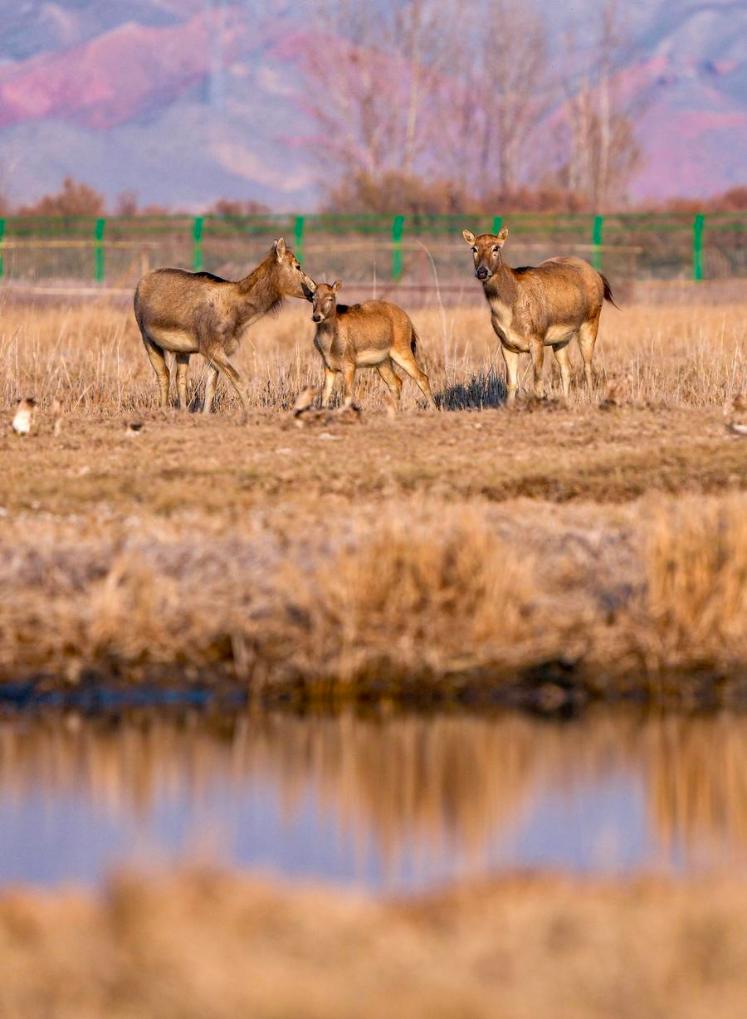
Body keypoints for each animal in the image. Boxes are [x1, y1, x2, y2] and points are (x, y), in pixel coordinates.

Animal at [133, 238, 316, 423]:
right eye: (297, 266)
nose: (313, 291)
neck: (240, 315)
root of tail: (140, 283)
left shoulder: (218, 351)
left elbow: (210, 387)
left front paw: (206, 414)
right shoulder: (210, 347)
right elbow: (238, 380)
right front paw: (250, 412)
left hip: (182, 350)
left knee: (180, 377)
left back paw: (182, 411)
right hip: (147, 338)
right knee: (164, 374)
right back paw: (163, 410)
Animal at [303, 281, 437, 412]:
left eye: (330, 298)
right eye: (314, 298)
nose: (316, 317)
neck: (328, 344)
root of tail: (408, 321)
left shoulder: (350, 365)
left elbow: (347, 395)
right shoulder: (329, 366)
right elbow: (325, 392)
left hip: (402, 350)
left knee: (422, 377)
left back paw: (434, 409)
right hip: (383, 362)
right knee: (396, 383)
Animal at [462, 226, 618, 404]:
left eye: (496, 248)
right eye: (474, 249)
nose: (481, 272)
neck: (508, 314)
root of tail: (598, 274)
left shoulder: (537, 338)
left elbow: (537, 381)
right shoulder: (506, 344)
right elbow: (511, 383)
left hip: (591, 320)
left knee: (587, 366)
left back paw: (591, 399)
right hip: (561, 339)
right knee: (567, 368)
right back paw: (565, 400)